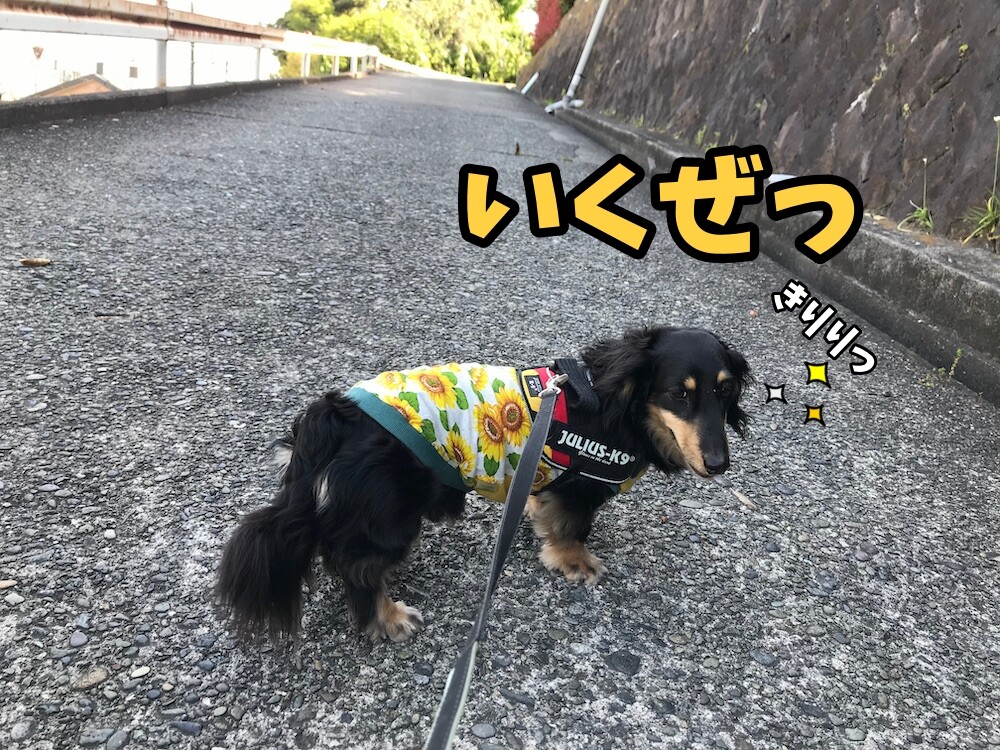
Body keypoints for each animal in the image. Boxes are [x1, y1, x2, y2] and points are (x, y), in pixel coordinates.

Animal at [217, 326, 751, 642]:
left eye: (725, 392)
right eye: (678, 394)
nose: (719, 464)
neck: (616, 403)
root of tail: (334, 416)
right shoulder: (579, 489)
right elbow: (574, 529)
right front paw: (575, 562)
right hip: (390, 516)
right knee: (356, 567)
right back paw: (386, 618)